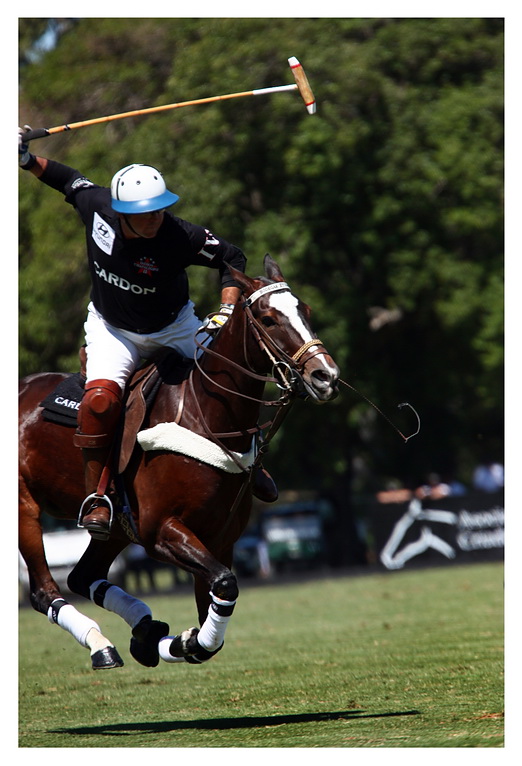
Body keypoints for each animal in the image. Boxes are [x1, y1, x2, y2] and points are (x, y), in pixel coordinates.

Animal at [19, 255, 340, 670]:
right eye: (269, 319)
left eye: (307, 311)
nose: (326, 376)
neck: (207, 417)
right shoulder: (162, 531)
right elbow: (225, 584)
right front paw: (177, 642)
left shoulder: (219, 540)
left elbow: (214, 615)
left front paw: (169, 642)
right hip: (25, 507)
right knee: (45, 590)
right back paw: (101, 645)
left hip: (117, 528)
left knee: (82, 576)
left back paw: (142, 627)